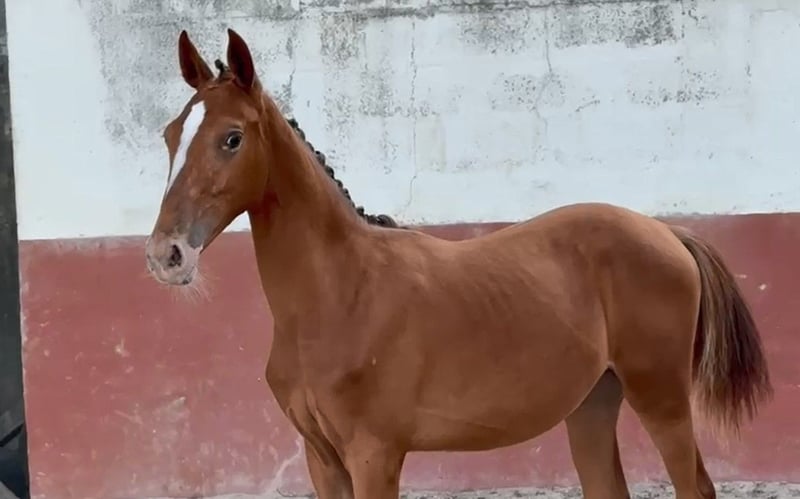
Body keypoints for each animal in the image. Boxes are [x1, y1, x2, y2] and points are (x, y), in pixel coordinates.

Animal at [144, 29, 773, 499]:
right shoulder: (321, 457)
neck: (339, 295)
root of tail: (668, 231)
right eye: (172, 134)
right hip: (594, 405)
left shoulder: (374, 454)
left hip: (660, 396)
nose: (165, 256)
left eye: (231, 138)